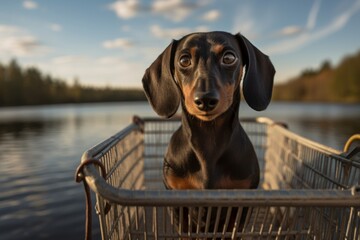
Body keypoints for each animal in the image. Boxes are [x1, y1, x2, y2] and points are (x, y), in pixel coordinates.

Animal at [142, 31, 274, 233]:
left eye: (229, 57)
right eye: (184, 60)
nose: (205, 99)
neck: (208, 143)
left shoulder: (240, 207)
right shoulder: (178, 203)